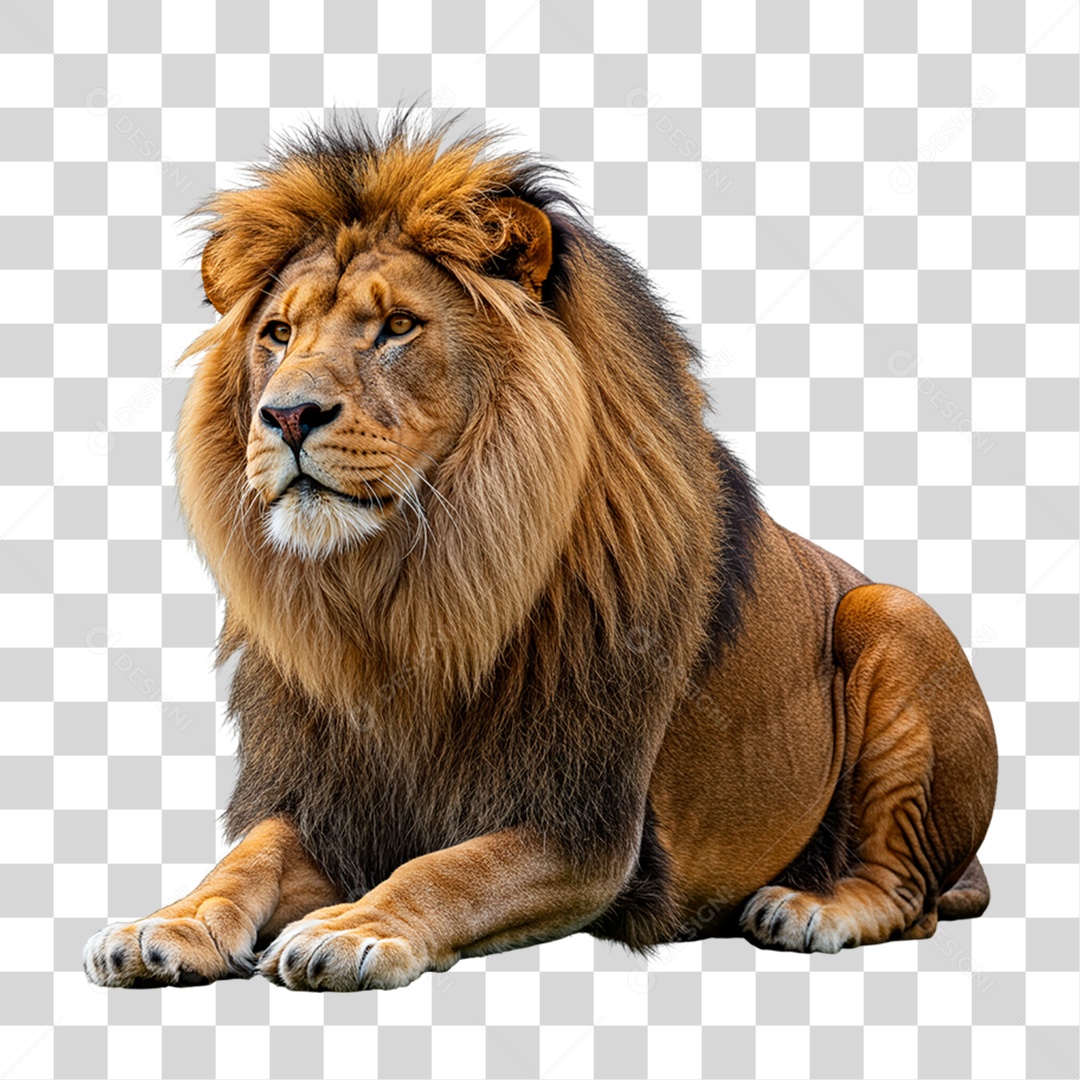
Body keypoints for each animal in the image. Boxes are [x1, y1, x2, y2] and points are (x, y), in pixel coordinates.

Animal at [84, 117, 997, 992]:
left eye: (398, 327)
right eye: (277, 333)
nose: (285, 415)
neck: (397, 596)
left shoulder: (583, 827)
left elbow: (446, 871)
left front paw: (353, 929)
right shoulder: (322, 799)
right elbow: (246, 861)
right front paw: (165, 925)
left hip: (894, 615)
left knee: (907, 894)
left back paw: (810, 909)